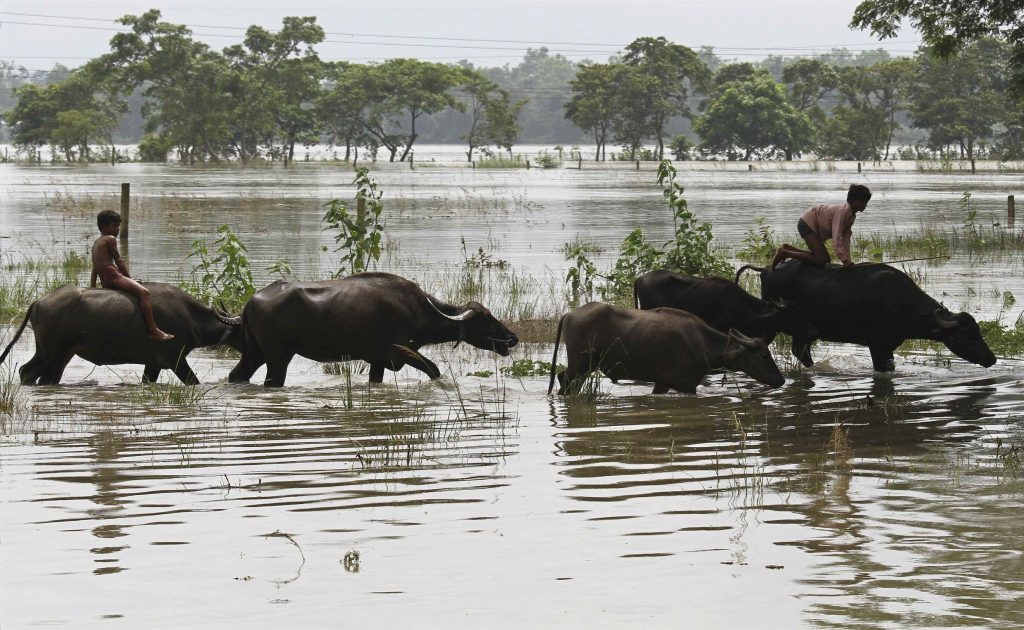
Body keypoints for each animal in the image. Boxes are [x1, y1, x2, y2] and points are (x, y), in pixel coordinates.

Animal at [0, 284, 243, 385]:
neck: (190, 316)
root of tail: (38, 301)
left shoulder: (153, 363)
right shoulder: (175, 359)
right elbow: (194, 381)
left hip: (48, 352)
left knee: (27, 371)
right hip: (56, 354)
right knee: (41, 376)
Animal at [230, 274, 520, 387]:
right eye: (486, 320)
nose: (512, 338)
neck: (419, 310)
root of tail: (251, 301)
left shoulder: (378, 361)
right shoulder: (400, 352)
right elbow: (434, 370)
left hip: (254, 354)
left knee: (237, 375)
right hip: (278, 358)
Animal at [552, 303, 782, 397]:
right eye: (763, 355)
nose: (780, 380)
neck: (702, 343)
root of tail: (570, 315)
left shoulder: (662, 383)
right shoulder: (687, 385)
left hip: (586, 367)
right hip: (580, 364)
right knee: (564, 379)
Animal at [741, 260, 995, 372]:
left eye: (978, 331)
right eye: (966, 336)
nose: (991, 358)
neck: (902, 303)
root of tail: (767, 269)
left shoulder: (889, 345)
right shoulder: (876, 344)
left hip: (804, 331)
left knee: (800, 351)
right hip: (773, 325)